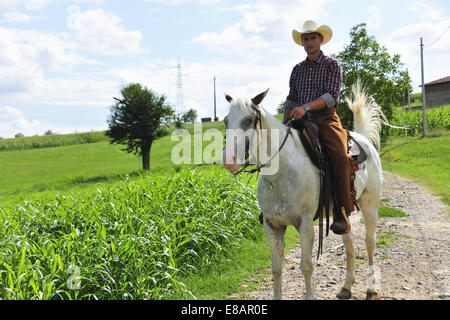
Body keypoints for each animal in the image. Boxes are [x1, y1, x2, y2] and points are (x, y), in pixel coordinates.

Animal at [221, 83, 384, 300]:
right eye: (226, 120)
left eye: (248, 120)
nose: (228, 160)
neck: (281, 173)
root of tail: (363, 139)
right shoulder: (272, 226)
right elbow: (276, 268)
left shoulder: (305, 225)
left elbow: (306, 266)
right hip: (342, 212)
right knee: (349, 243)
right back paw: (346, 287)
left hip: (370, 205)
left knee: (369, 243)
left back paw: (372, 289)